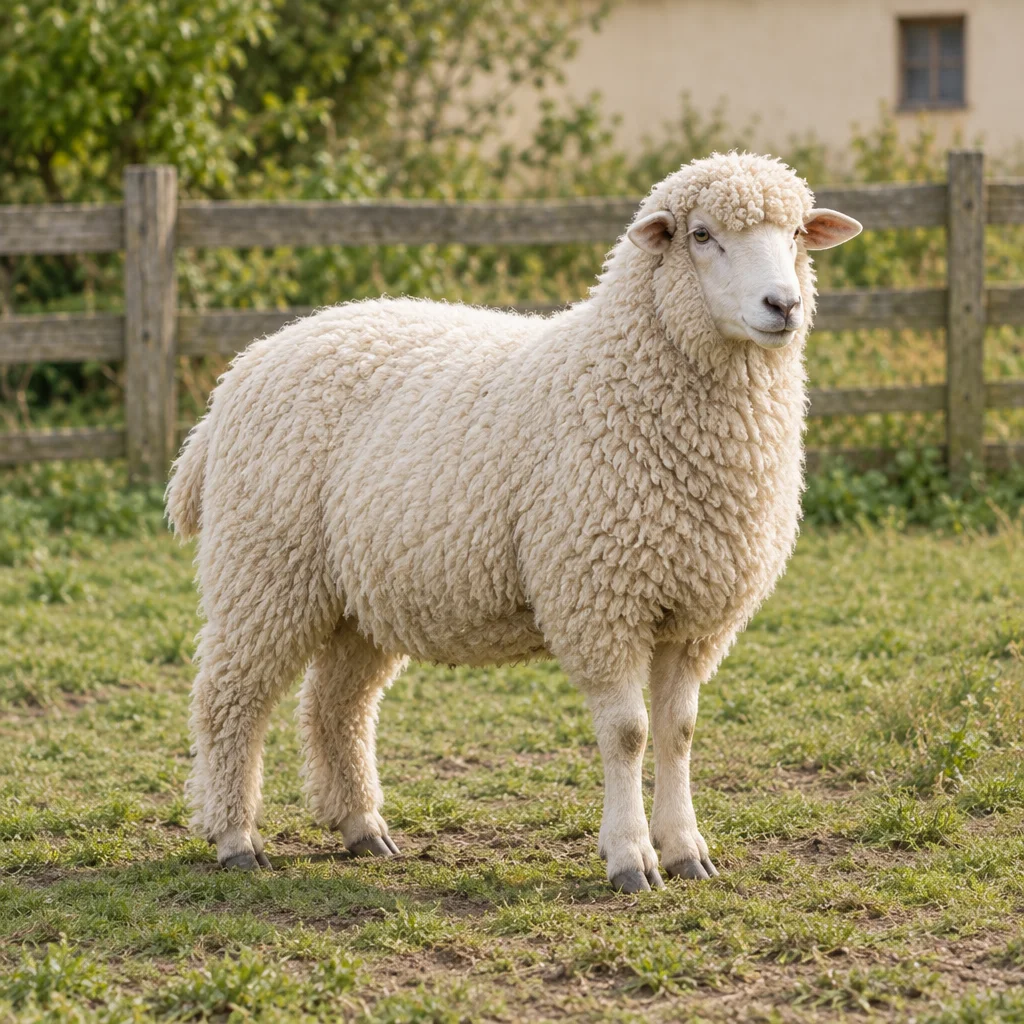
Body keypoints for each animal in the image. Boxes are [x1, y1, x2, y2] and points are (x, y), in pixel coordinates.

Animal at [166, 152, 862, 892]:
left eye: (797, 233)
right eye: (701, 235)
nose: (782, 305)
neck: (626, 375)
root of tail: (241, 372)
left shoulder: (695, 612)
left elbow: (679, 731)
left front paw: (685, 850)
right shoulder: (599, 597)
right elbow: (629, 733)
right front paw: (630, 857)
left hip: (358, 592)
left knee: (336, 704)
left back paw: (362, 829)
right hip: (264, 565)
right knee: (229, 698)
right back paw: (235, 837)